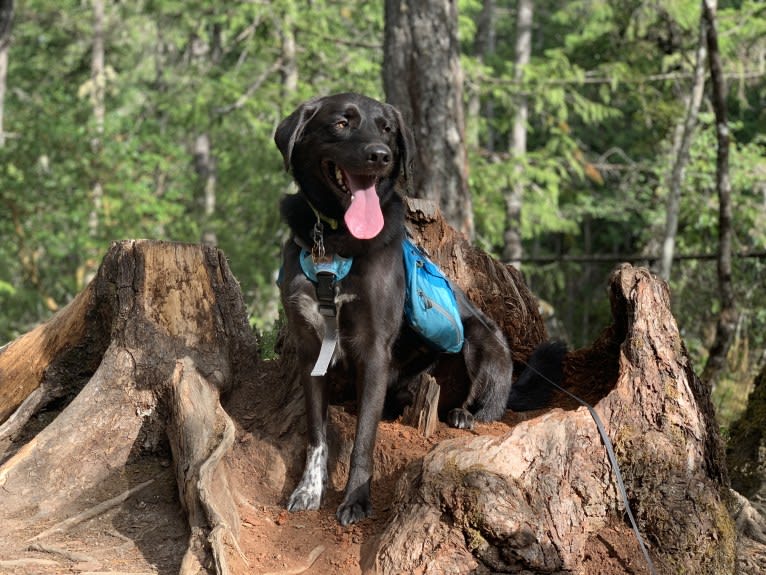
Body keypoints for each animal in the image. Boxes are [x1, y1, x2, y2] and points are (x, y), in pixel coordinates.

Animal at [276, 93, 520, 528]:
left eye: (387, 129)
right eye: (341, 123)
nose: (380, 155)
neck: (336, 241)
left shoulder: (374, 350)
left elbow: (363, 439)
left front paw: (356, 501)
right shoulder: (311, 350)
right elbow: (317, 434)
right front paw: (308, 489)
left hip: (482, 344)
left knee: (491, 402)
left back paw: (465, 415)